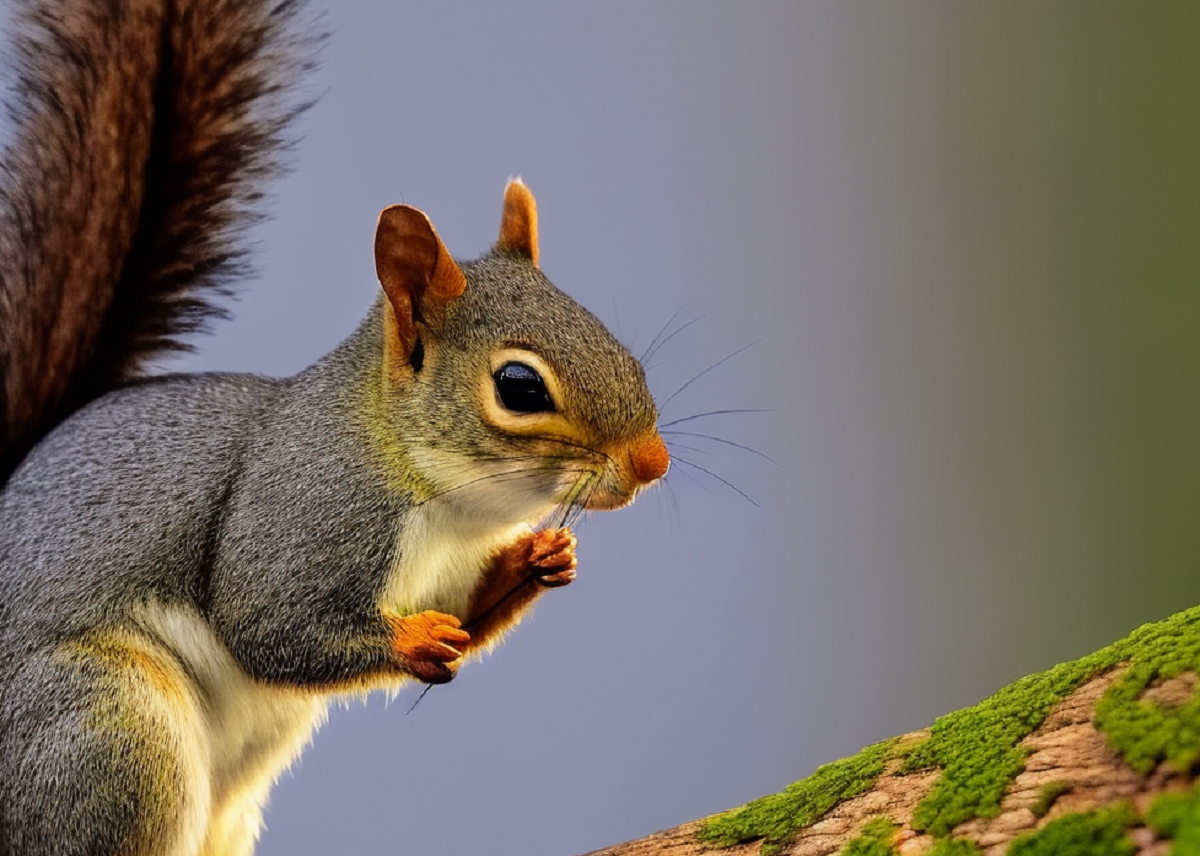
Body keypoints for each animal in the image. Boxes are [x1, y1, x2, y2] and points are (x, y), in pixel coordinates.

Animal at [0, 1, 669, 854]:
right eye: (519, 386)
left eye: (616, 343)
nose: (652, 463)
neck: (446, 498)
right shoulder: (306, 515)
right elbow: (267, 623)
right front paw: (414, 642)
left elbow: (468, 612)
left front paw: (539, 558)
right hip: (104, 729)